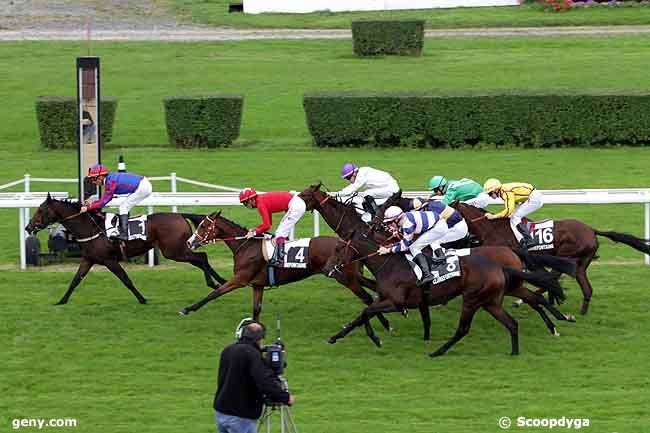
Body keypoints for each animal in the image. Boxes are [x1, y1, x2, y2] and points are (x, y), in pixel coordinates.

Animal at [24, 193, 225, 304]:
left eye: (41, 210)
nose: (28, 227)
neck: (90, 228)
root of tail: (180, 216)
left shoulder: (109, 260)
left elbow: (126, 280)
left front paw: (142, 299)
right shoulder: (88, 259)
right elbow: (75, 281)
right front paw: (61, 300)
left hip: (174, 251)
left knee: (201, 258)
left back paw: (217, 282)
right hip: (177, 250)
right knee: (201, 259)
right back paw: (217, 282)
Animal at [177, 211, 390, 330]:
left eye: (204, 226)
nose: (189, 242)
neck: (246, 246)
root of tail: (348, 243)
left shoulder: (240, 279)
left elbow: (214, 293)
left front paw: (187, 309)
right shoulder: (257, 285)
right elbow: (256, 310)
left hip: (344, 277)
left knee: (367, 298)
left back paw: (386, 323)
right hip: (351, 274)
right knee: (373, 289)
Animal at [326, 231, 564, 356]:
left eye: (338, 249)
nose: (328, 268)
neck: (390, 265)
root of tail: (501, 263)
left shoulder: (396, 302)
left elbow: (366, 312)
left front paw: (376, 339)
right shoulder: (387, 299)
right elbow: (362, 315)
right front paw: (335, 337)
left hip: (473, 299)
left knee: (464, 328)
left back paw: (438, 352)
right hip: (493, 300)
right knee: (518, 316)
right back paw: (521, 347)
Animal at [448, 202, 648, 314]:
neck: (492, 229)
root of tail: (592, 230)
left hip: (566, 256)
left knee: (554, 276)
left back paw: (525, 301)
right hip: (580, 264)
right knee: (585, 288)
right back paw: (582, 311)